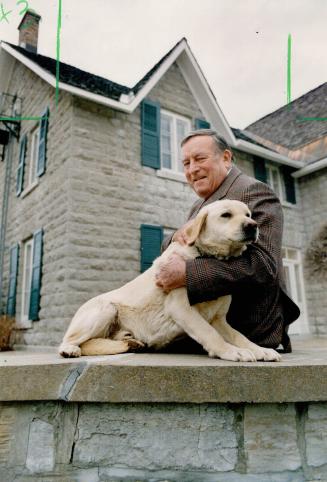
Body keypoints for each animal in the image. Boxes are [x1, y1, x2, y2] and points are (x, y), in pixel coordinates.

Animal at [58, 200, 282, 362]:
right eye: (226, 215)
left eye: (248, 215)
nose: (253, 226)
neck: (205, 256)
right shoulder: (181, 308)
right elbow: (210, 334)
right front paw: (232, 352)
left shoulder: (218, 319)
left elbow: (239, 336)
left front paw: (260, 350)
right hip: (106, 308)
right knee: (72, 341)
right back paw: (70, 349)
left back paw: (130, 343)